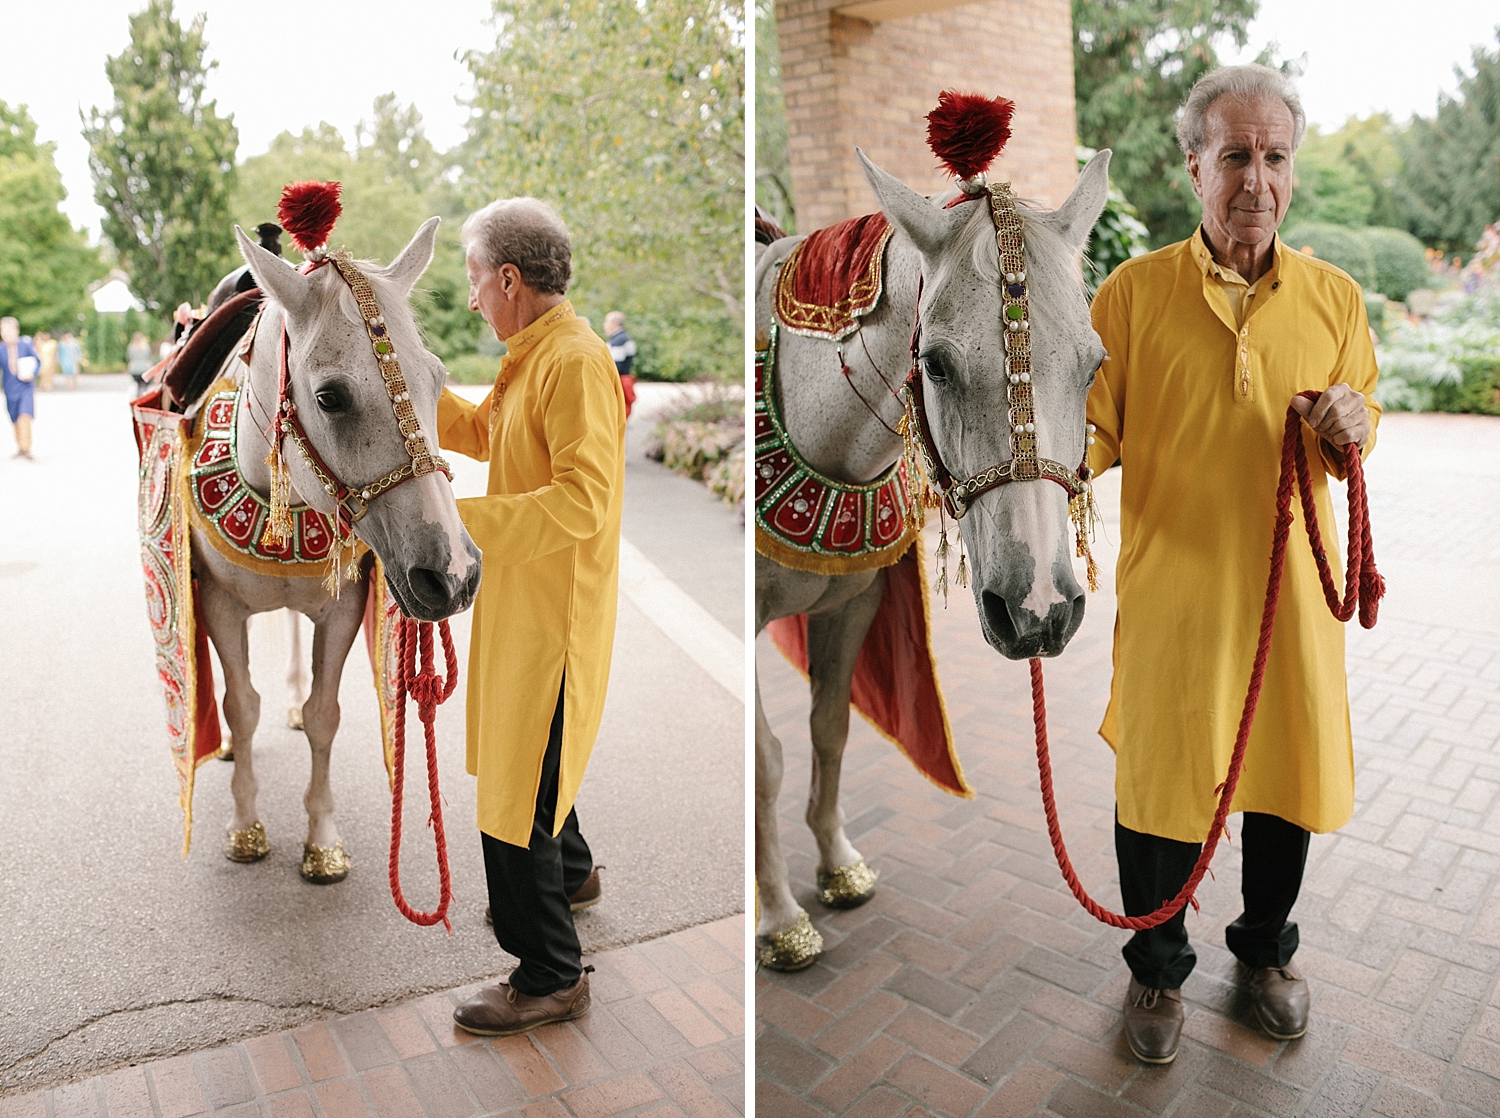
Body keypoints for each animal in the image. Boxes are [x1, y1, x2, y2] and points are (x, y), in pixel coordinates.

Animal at [190, 217, 477, 882]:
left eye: (438, 379)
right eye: (330, 398)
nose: (452, 574)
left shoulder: (342, 606)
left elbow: (326, 714)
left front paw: (322, 841)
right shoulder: (218, 603)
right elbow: (240, 706)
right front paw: (246, 828)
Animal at [750, 150, 1116, 960]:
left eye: (1094, 365)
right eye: (938, 366)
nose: (1038, 610)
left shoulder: (851, 601)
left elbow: (829, 726)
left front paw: (838, 866)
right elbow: (765, 762)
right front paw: (783, 922)